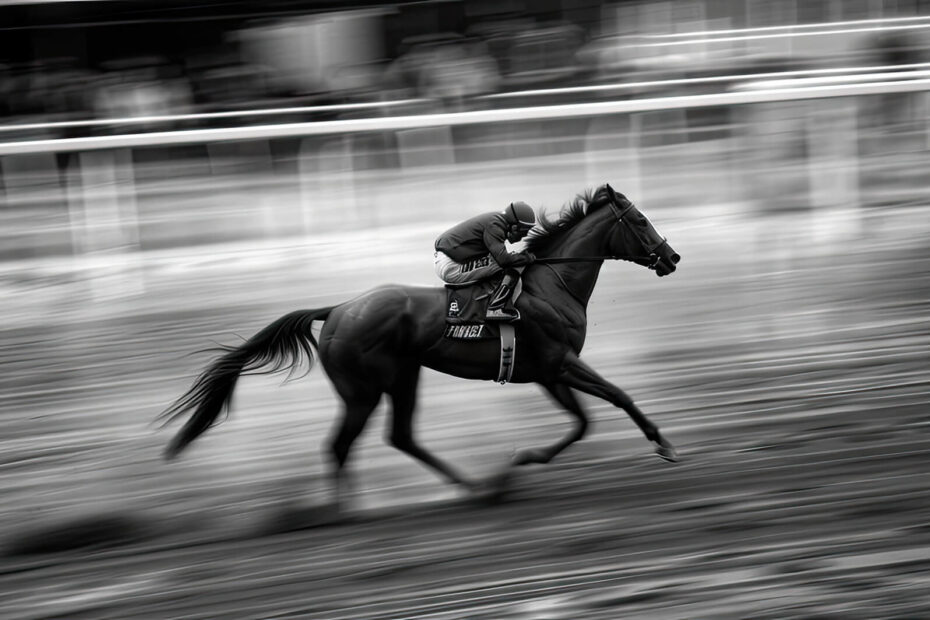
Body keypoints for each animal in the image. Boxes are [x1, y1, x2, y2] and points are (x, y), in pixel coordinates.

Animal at [159, 183, 681, 506]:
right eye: (640, 220)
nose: (672, 257)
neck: (553, 282)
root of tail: (339, 309)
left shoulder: (546, 372)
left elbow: (581, 423)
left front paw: (519, 463)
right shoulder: (560, 362)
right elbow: (617, 397)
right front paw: (665, 444)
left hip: (403, 377)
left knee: (401, 437)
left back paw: (475, 487)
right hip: (362, 390)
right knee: (340, 445)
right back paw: (347, 511)